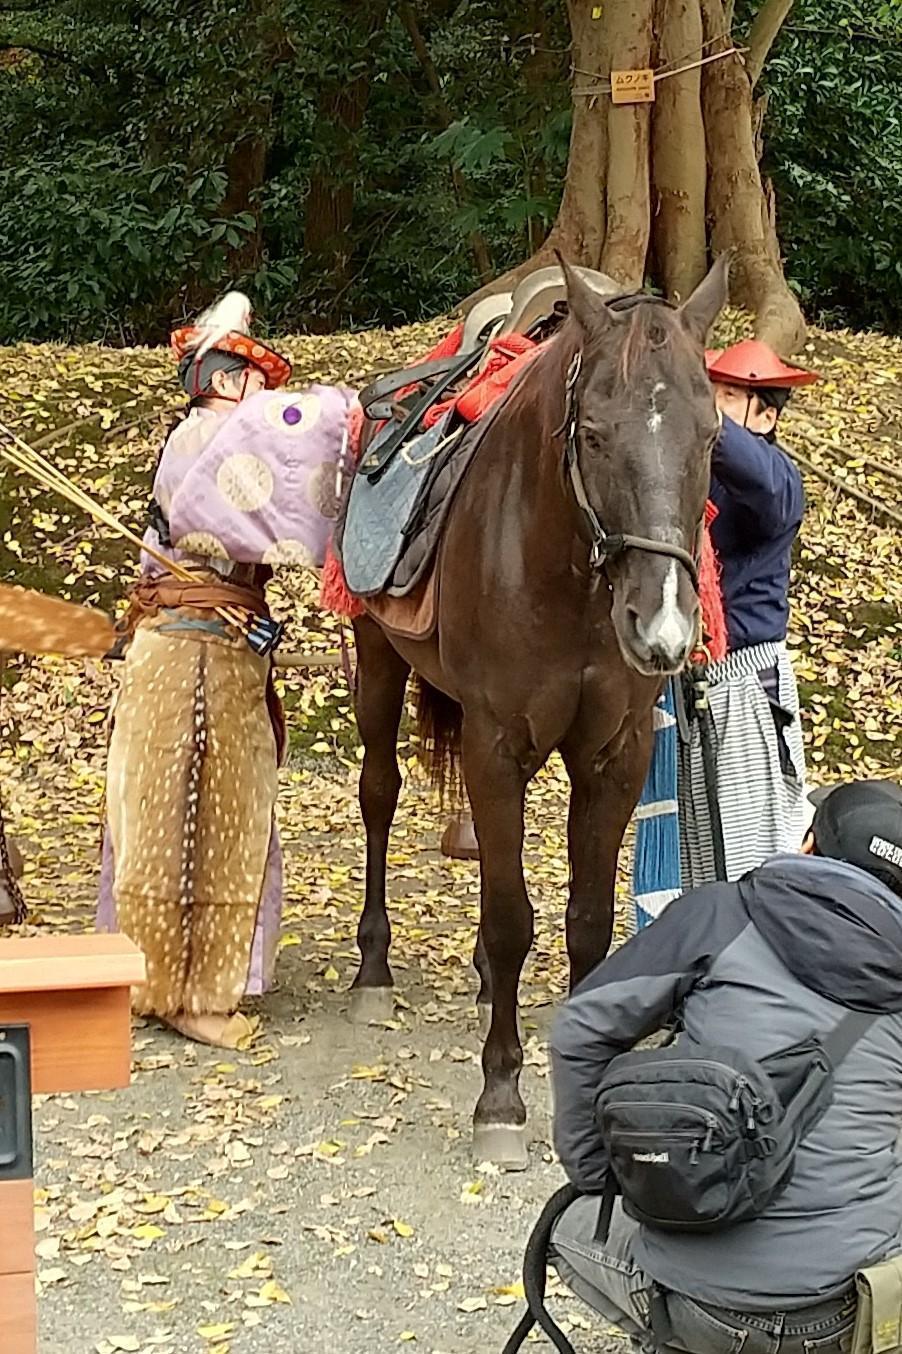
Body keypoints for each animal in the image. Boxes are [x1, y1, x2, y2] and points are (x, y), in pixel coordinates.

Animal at [348, 257, 729, 1167]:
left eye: (709, 436)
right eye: (592, 434)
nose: (663, 627)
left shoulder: (616, 751)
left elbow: (586, 920)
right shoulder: (497, 743)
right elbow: (512, 915)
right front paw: (500, 1097)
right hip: (376, 656)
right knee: (379, 796)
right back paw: (373, 971)